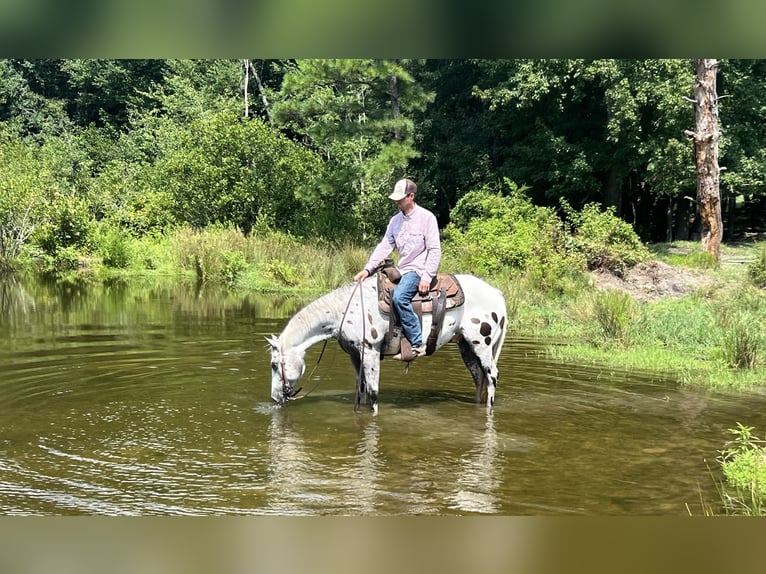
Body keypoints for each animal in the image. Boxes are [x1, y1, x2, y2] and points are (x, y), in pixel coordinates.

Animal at [268, 274, 510, 414]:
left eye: (274, 364)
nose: (275, 398)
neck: (346, 310)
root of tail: (498, 294)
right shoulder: (355, 355)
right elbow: (362, 390)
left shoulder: (371, 351)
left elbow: (374, 392)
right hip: (466, 347)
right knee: (479, 377)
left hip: (482, 344)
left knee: (492, 376)